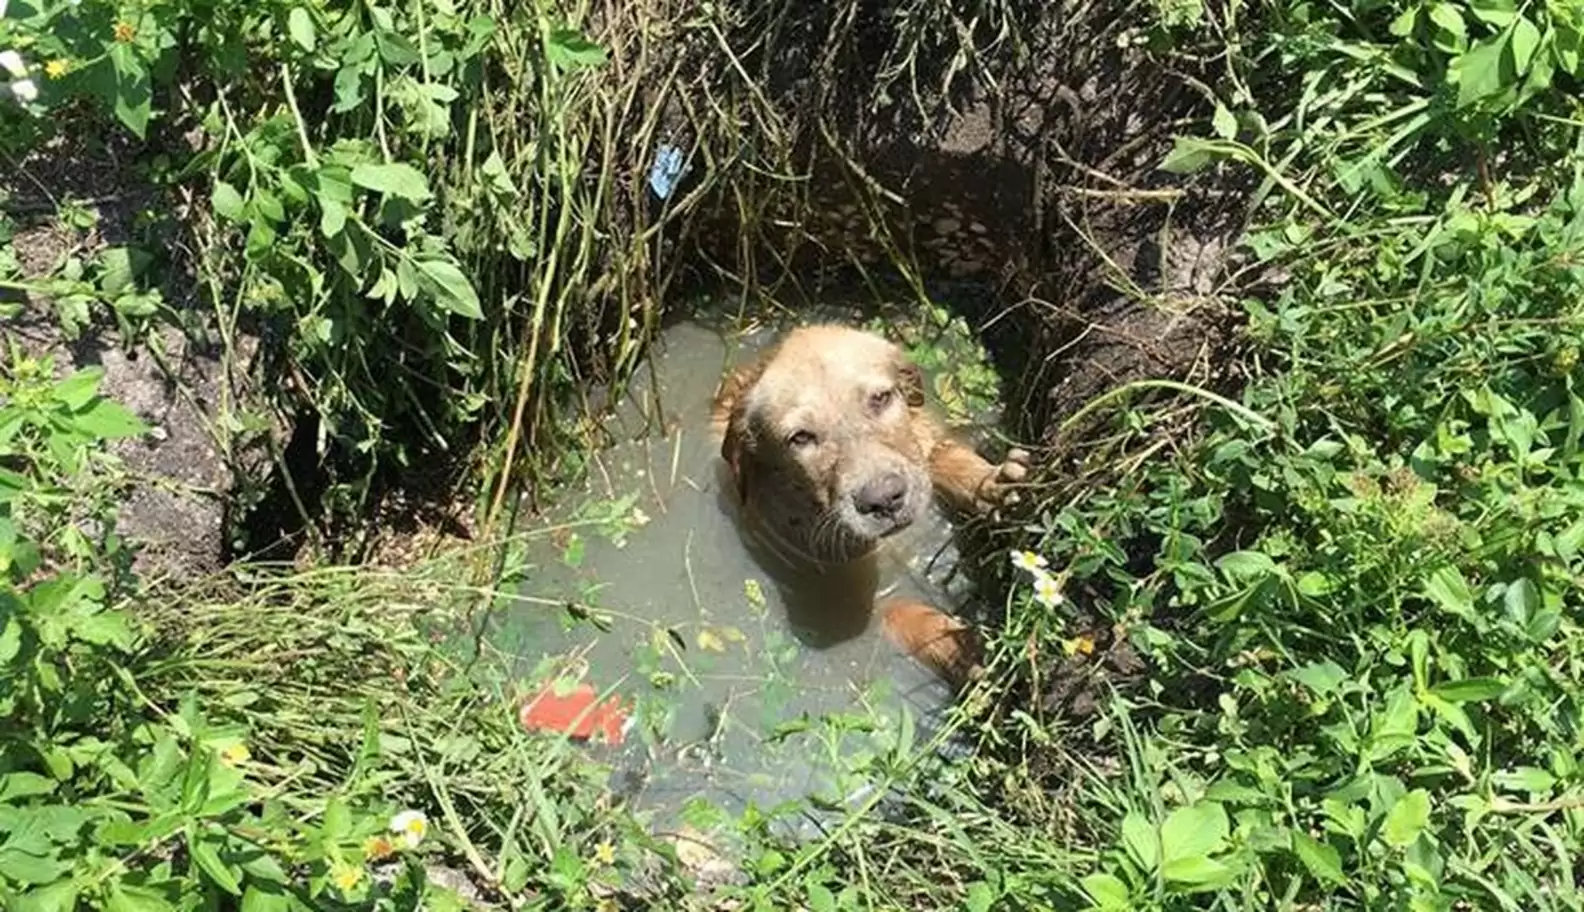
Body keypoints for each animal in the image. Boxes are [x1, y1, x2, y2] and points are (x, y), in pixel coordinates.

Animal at [709, 319, 1026, 684]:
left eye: (880, 398)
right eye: (800, 437)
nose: (884, 500)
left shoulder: (924, 441)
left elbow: (944, 456)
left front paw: (992, 483)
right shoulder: (843, 599)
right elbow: (899, 610)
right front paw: (960, 646)